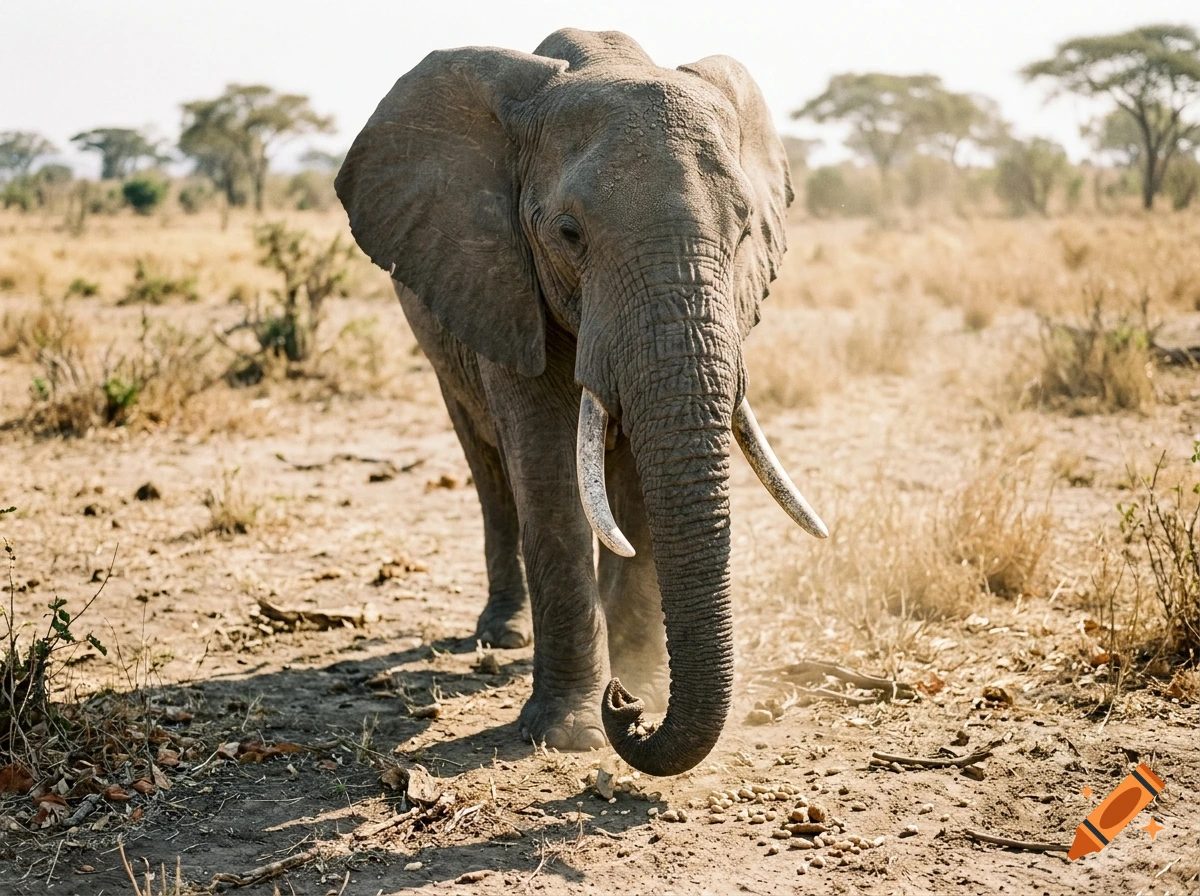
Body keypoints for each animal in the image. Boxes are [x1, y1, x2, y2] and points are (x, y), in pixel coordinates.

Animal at [335, 28, 826, 777]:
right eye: (568, 234)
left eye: (744, 228)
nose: (627, 707)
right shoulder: (504, 283)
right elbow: (547, 474)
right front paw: (573, 731)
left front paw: (637, 685)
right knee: (488, 467)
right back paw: (503, 634)